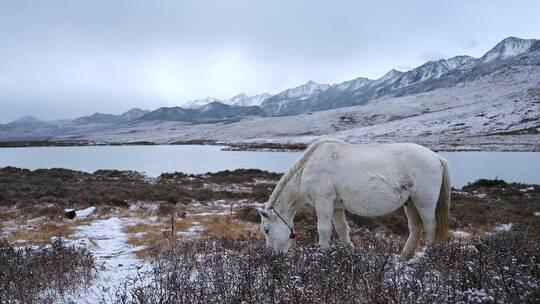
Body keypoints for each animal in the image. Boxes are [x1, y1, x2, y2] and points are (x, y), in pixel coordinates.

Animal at [260, 139, 450, 258]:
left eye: (266, 230)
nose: (273, 257)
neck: (308, 168)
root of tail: (436, 157)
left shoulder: (323, 202)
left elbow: (323, 229)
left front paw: (322, 255)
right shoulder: (336, 206)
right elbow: (342, 229)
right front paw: (349, 252)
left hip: (424, 202)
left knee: (430, 226)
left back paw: (428, 256)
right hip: (410, 203)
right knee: (416, 227)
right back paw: (405, 255)